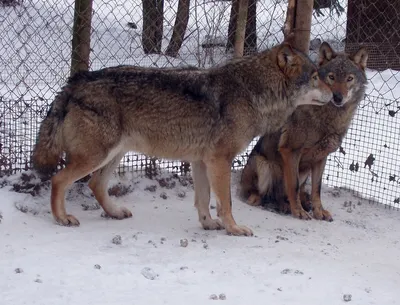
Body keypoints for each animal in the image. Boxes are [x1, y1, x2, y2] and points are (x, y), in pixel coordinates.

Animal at [31, 40, 332, 235]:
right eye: (315, 77)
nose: (335, 96)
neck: (252, 92)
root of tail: (75, 81)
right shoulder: (220, 160)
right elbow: (226, 202)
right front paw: (233, 228)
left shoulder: (201, 161)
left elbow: (204, 200)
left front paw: (208, 224)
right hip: (97, 156)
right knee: (58, 180)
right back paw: (62, 218)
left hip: (114, 154)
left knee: (95, 184)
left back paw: (114, 212)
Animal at [239, 41, 368, 221]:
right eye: (332, 77)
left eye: (349, 78)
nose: (337, 97)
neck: (327, 118)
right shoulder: (291, 150)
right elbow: (292, 186)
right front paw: (298, 211)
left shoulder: (321, 157)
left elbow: (316, 190)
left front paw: (319, 212)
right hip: (264, 164)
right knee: (264, 194)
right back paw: (266, 201)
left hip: (304, 171)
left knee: (287, 194)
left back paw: (294, 204)